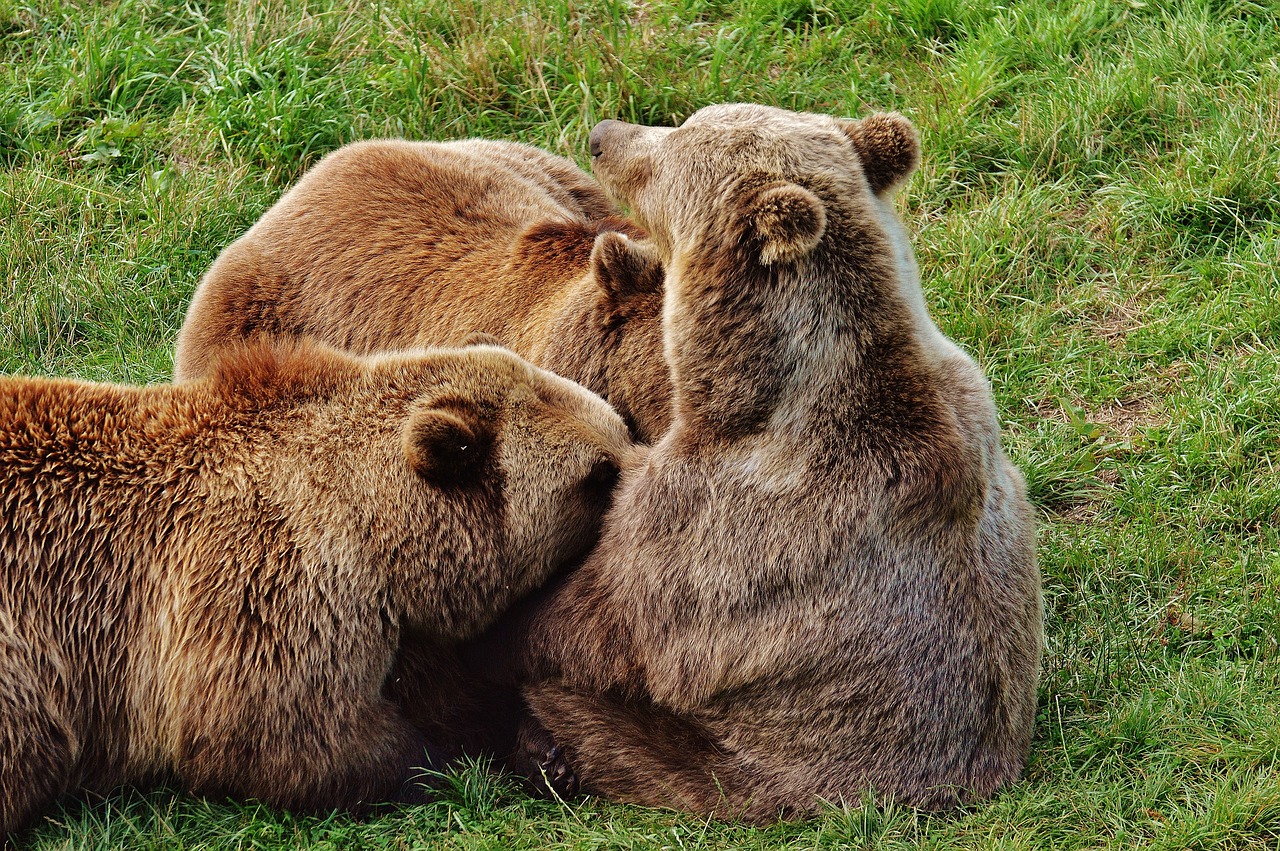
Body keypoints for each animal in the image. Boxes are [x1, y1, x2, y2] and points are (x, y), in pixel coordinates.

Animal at [0, 337, 634, 834]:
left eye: (619, 427)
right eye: (598, 473)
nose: (638, 468)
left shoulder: (400, 621)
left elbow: (450, 691)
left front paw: (545, 750)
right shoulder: (267, 581)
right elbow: (281, 730)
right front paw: (439, 764)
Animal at [504, 103, 1044, 819]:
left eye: (673, 145)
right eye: (683, 122)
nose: (602, 136)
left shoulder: (715, 527)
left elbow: (606, 624)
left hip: (742, 769)